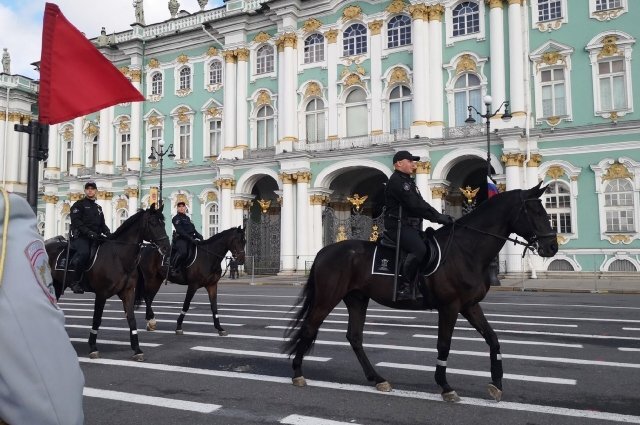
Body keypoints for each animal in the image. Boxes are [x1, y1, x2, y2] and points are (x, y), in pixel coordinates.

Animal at [46, 204, 169, 360]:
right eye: (153, 222)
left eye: (163, 223)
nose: (167, 247)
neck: (118, 257)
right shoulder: (101, 294)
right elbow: (97, 319)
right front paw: (93, 347)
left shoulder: (128, 292)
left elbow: (131, 319)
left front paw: (137, 349)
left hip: (56, 286)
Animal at [282, 183, 556, 400]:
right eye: (535, 211)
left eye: (546, 208)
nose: (552, 246)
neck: (465, 250)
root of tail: (323, 251)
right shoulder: (450, 306)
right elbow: (444, 345)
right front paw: (445, 386)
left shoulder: (469, 305)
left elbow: (493, 339)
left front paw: (497, 383)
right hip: (327, 298)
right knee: (309, 328)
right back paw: (297, 373)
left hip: (357, 299)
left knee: (355, 337)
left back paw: (377, 378)